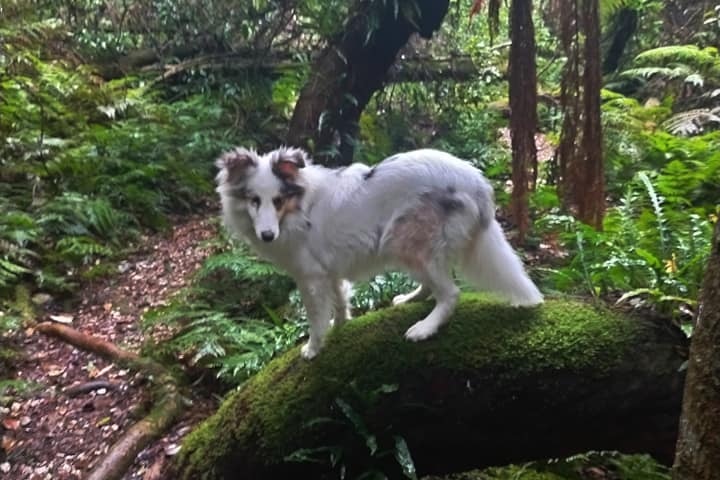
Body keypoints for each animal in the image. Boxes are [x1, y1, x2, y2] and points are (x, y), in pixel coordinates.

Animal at [217, 148, 544, 358]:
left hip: (405, 240)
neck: (299, 208)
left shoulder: (310, 279)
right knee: (433, 284)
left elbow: (316, 319)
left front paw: (313, 348)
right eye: (254, 200)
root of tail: (477, 182)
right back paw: (409, 299)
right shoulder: (329, 271)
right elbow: (340, 301)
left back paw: (425, 328)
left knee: (450, 293)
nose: (267, 235)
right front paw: (341, 325)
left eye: (278, 200)